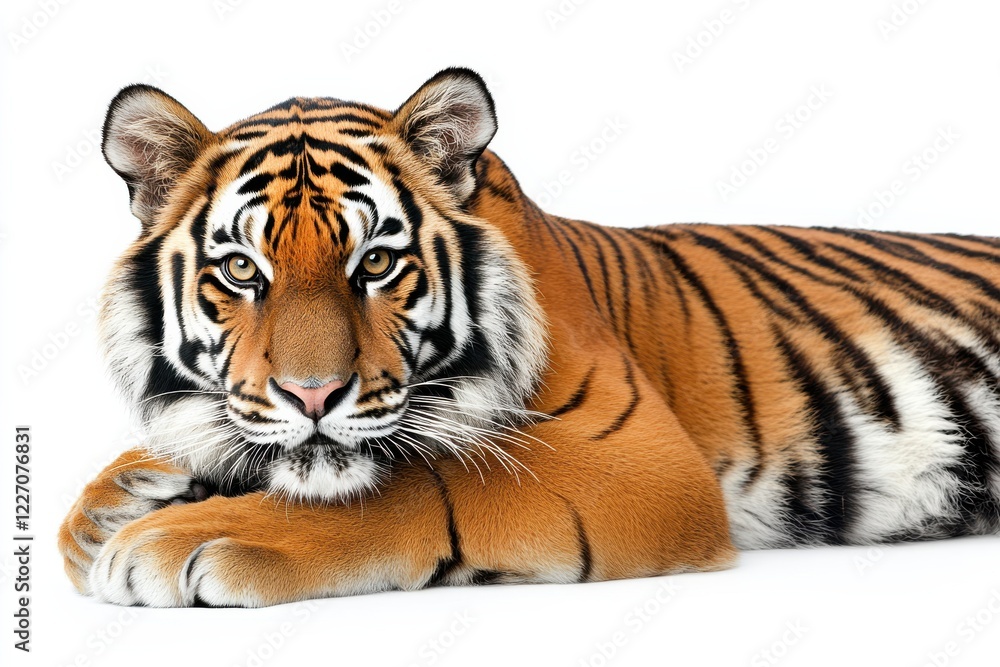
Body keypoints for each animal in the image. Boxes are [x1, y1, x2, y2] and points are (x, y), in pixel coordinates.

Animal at [58, 68, 1000, 607]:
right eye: (242, 270)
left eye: (376, 262)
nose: (312, 395)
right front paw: (111, 504)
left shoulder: (642, 460)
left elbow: (421, 485)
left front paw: (169, 537)